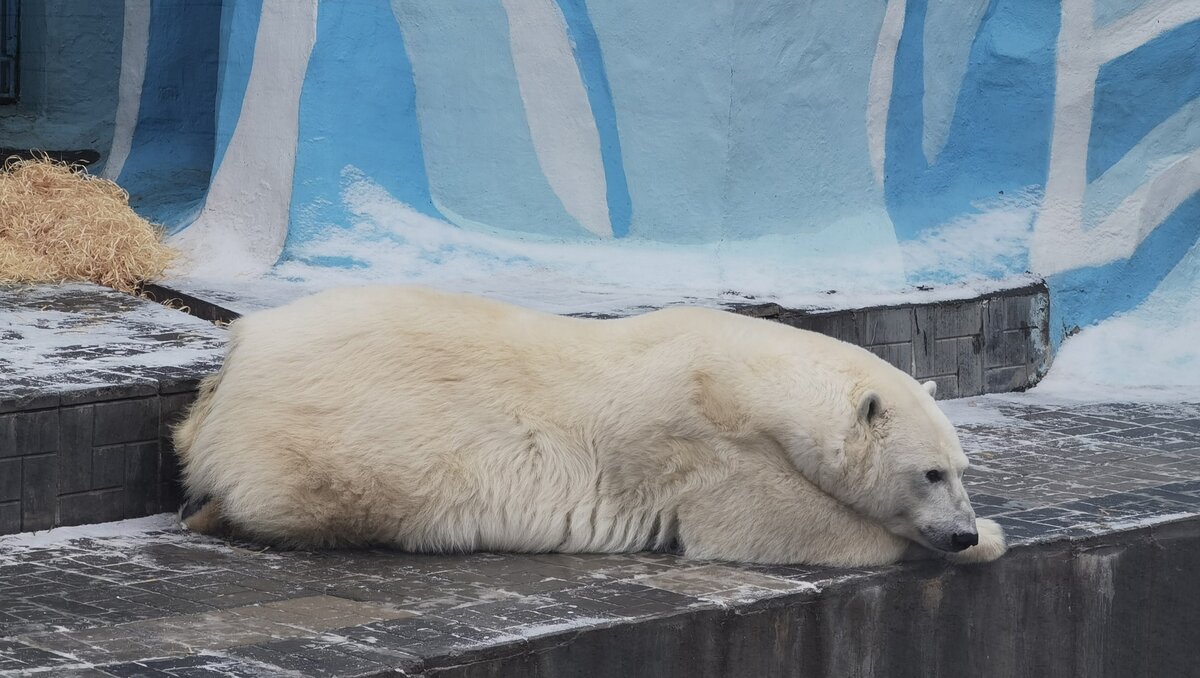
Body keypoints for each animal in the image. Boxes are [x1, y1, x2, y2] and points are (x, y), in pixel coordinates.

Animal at [175, 284, 1003, 566]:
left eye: (962, 469)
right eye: (930, 472)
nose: (960, 532)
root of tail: (245, 344)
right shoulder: (707, 446)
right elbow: (779, 525)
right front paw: (988, 539)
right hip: (339, 443)